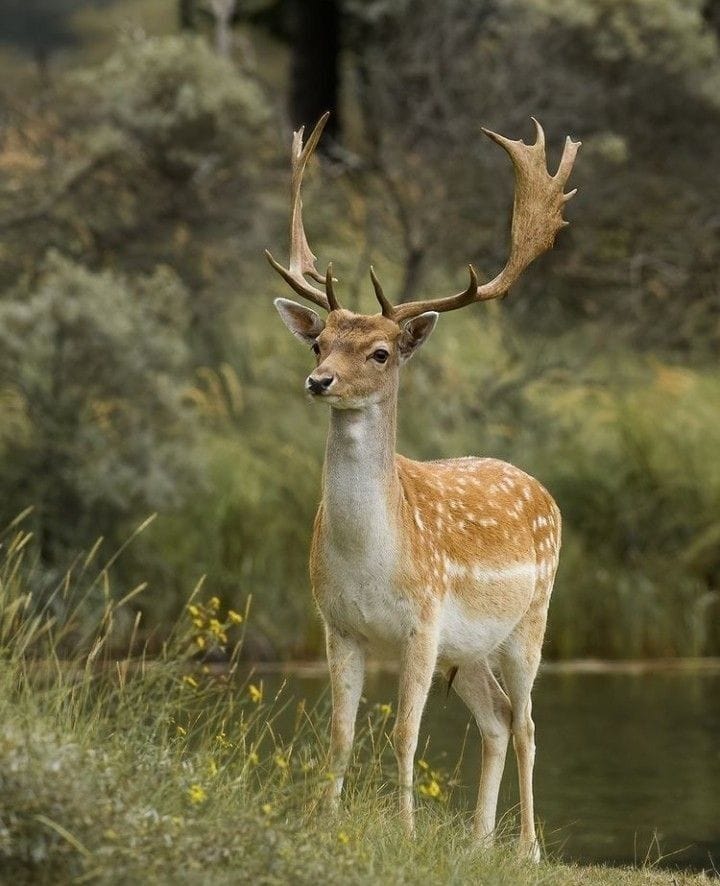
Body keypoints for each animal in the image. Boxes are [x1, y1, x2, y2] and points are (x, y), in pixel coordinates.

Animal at [265, 112, 579, 861]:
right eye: (318, 342)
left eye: (380, 351)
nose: (318, 381)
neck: (372, 559)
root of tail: (542, 490)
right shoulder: (336, 624)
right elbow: (342, 732)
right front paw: (325, 822)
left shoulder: (424, 622)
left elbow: (406, 734)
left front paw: (404, 834)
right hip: (470, 650)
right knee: (497, 718)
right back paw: (479, 842)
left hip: (533, 617)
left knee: (527, 723)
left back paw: (526, 848)